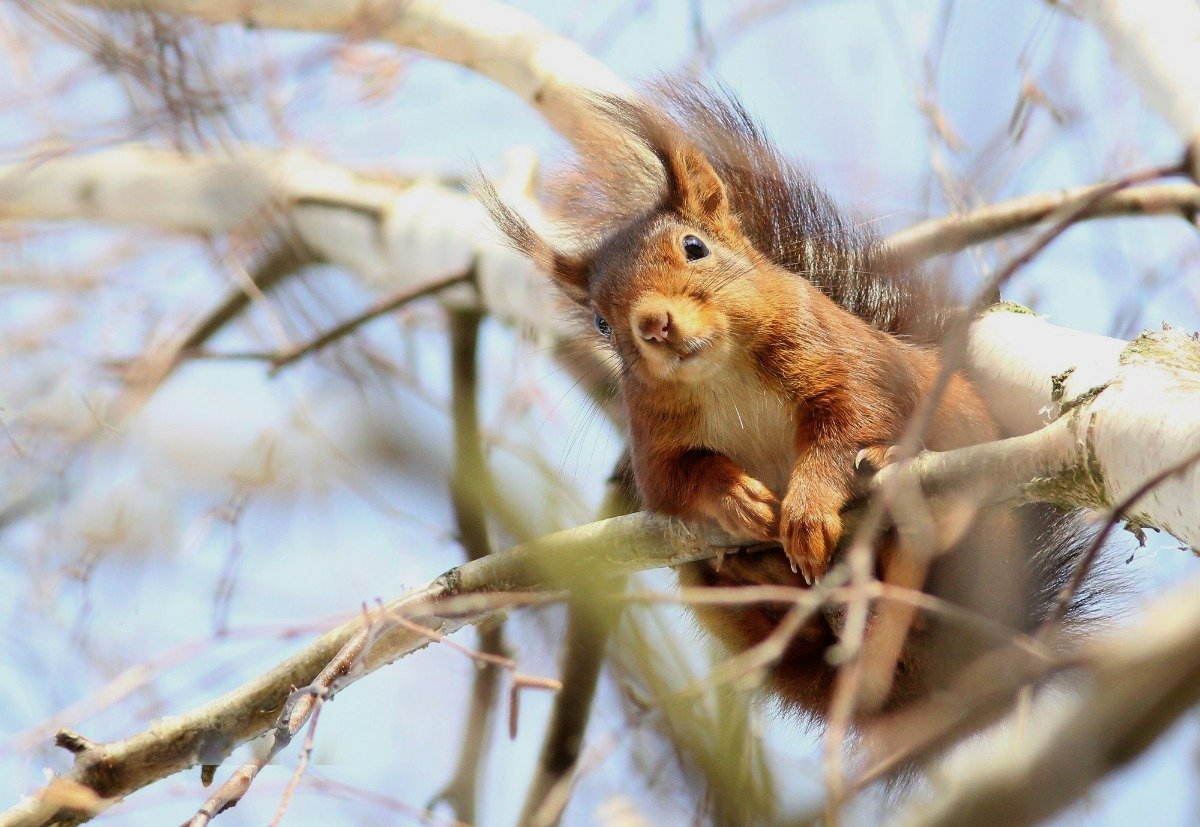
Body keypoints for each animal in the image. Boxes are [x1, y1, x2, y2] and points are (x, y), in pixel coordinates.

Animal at [482, 82, 1099, 715]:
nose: (652, 324)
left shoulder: (838, 357)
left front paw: (806, 507)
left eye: (694, 246)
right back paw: (752, 570)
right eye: (602, 323)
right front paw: (735, 497)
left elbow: (846, 420)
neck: (720, 373)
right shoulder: (653, 439)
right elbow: (675, 481)